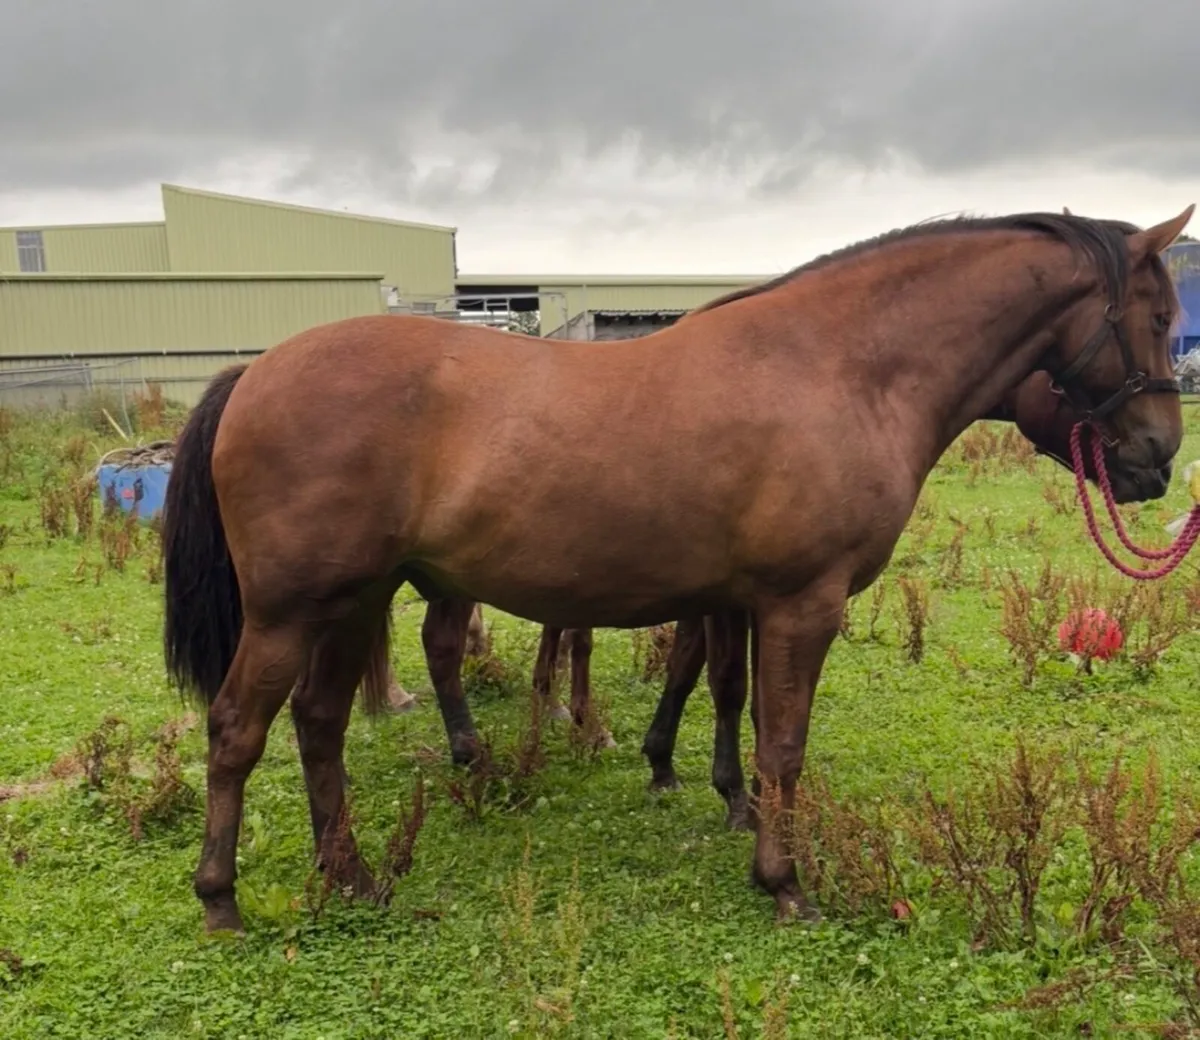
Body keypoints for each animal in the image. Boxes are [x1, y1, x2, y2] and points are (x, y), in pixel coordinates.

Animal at [162, 206, 1190, 932]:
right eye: (1158, 315)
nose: (1158, 456)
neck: (842, 368)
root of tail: (255, 373)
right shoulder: (801, 605)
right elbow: (782, 744)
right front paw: (784, 881)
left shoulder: (741, 603)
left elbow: (734, 704)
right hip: (296, 609)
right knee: (239, 729)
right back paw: (221, 898)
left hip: (353, 601)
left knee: (321, 725)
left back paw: (352, 875)